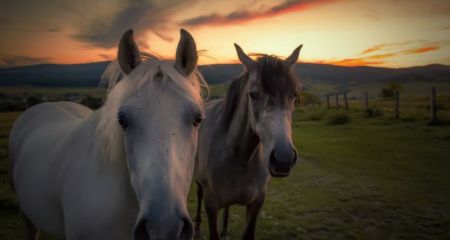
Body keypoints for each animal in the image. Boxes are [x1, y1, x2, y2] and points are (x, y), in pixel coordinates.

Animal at [194, 43, 302, 240]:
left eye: (294, 95)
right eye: (252, 95)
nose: (283, 159)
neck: (240, 156)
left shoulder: (256, 204)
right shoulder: (211, 206)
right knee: (198, 194)